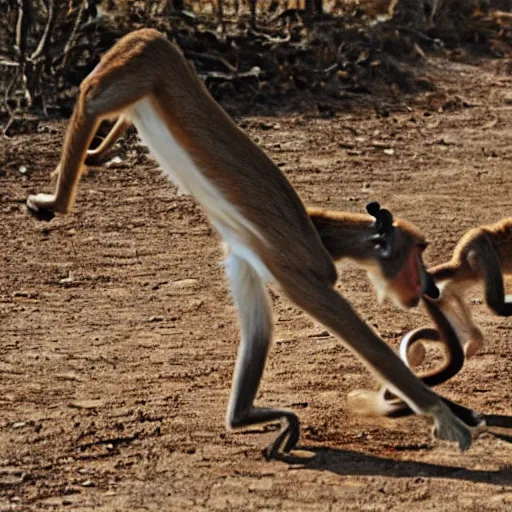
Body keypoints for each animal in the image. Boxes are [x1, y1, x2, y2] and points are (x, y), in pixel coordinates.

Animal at [26, 29, 476, 456]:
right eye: (418, 254)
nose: (429, 285)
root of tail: (147, 37)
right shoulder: (303, 276)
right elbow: (360, 338)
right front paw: (440, 413)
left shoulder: (254, 259)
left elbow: (261, 326)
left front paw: (246, 418)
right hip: (148, 65)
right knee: (94, 95)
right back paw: (59, 197)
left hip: (148, 79)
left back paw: (92, 158)